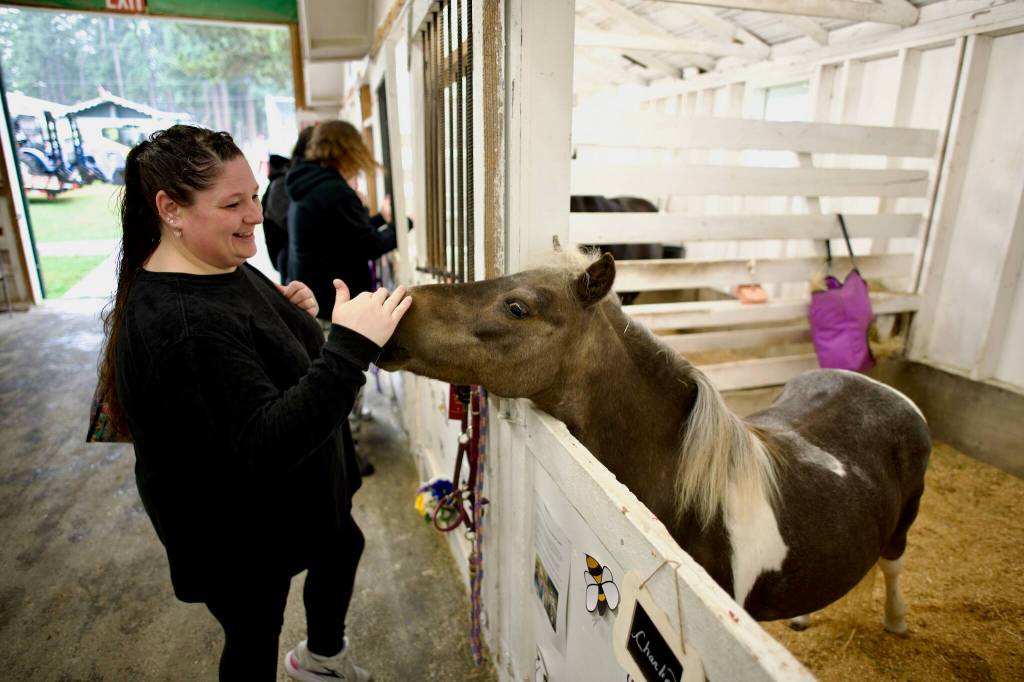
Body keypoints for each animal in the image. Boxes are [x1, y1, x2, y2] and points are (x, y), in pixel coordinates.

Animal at [377, 253, 931, 632]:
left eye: (517, 307)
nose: (397, 308)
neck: (695, 503)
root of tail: (883, 390)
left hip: (902, 530)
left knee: (895, 567)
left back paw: (898, 621)